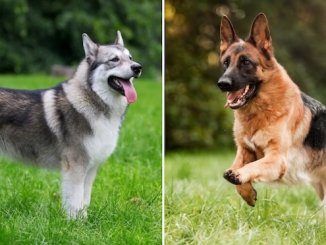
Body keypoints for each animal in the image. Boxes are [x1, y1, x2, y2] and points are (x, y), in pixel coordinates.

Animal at [0, 31, 143, 218]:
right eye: (114, 59)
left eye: (130, 58)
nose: (138, 67)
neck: (94, 101)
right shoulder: (75, 167)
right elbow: (74, 202)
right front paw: (75, 223)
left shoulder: (90, 170)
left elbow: (84, 201)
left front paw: (85, 221)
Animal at [218, 12, 324, 206]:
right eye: (226, 63)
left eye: (246, 62)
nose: (222, 84)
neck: (260, 112)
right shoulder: (244, 150)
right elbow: (238, 170)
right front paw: (247, 193)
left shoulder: (276, 159)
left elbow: (252, 166)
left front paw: (240, 175)